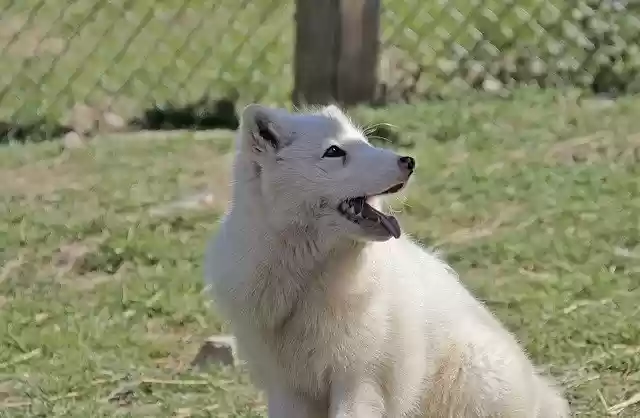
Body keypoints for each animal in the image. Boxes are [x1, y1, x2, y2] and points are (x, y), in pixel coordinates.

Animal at [203, 103, 571, 417]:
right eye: (334, 151)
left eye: (365, 143)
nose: (408, 161)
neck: (308, 280)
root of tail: (542, 395)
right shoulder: (288, 388)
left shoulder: (359, 380)